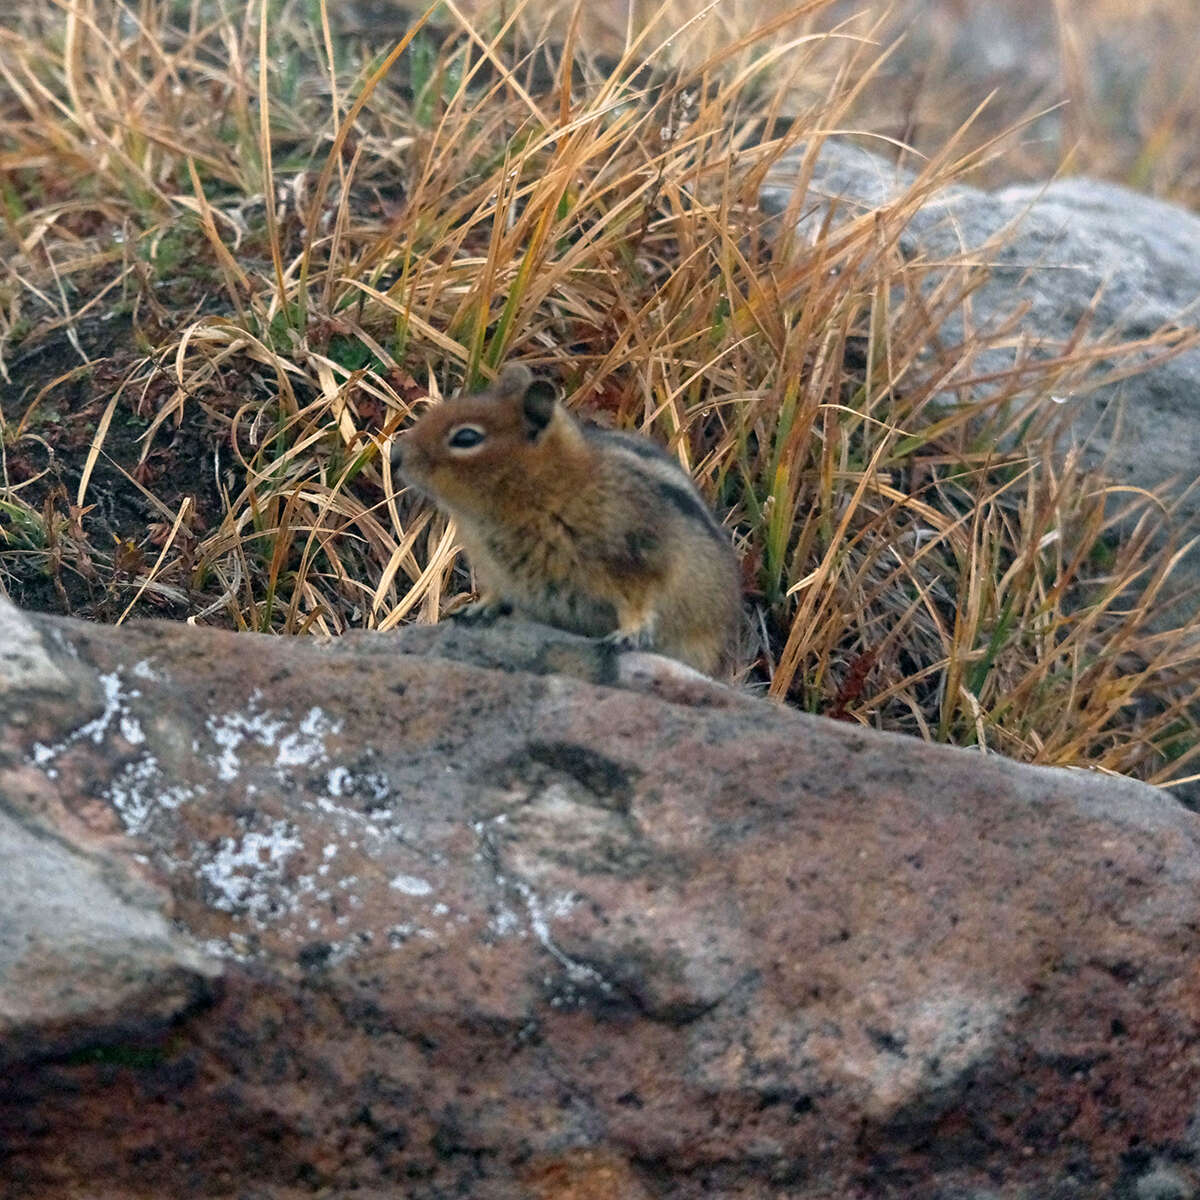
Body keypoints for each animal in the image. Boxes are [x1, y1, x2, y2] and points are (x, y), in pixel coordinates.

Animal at [393, 364, 739, 681]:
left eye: (466, 437)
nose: (395, 456)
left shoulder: (638, 556)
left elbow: (638, 602)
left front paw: (627, 634)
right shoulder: (496, 570)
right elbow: (497, 593)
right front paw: (478, 608)